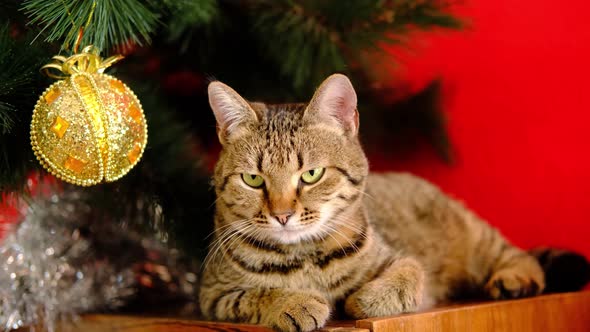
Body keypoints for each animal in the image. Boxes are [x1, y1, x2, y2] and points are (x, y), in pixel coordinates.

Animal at [199, 74, 552, 330]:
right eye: (253, 179)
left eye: (311, 174)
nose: (282, 215)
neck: (306, 255)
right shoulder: (212, 295)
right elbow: (255, 295)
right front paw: (295, 302)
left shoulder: (400, 260)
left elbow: (408, 275)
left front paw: (363, 299)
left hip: (475, 237)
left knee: (515, 253)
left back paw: (514, 279)